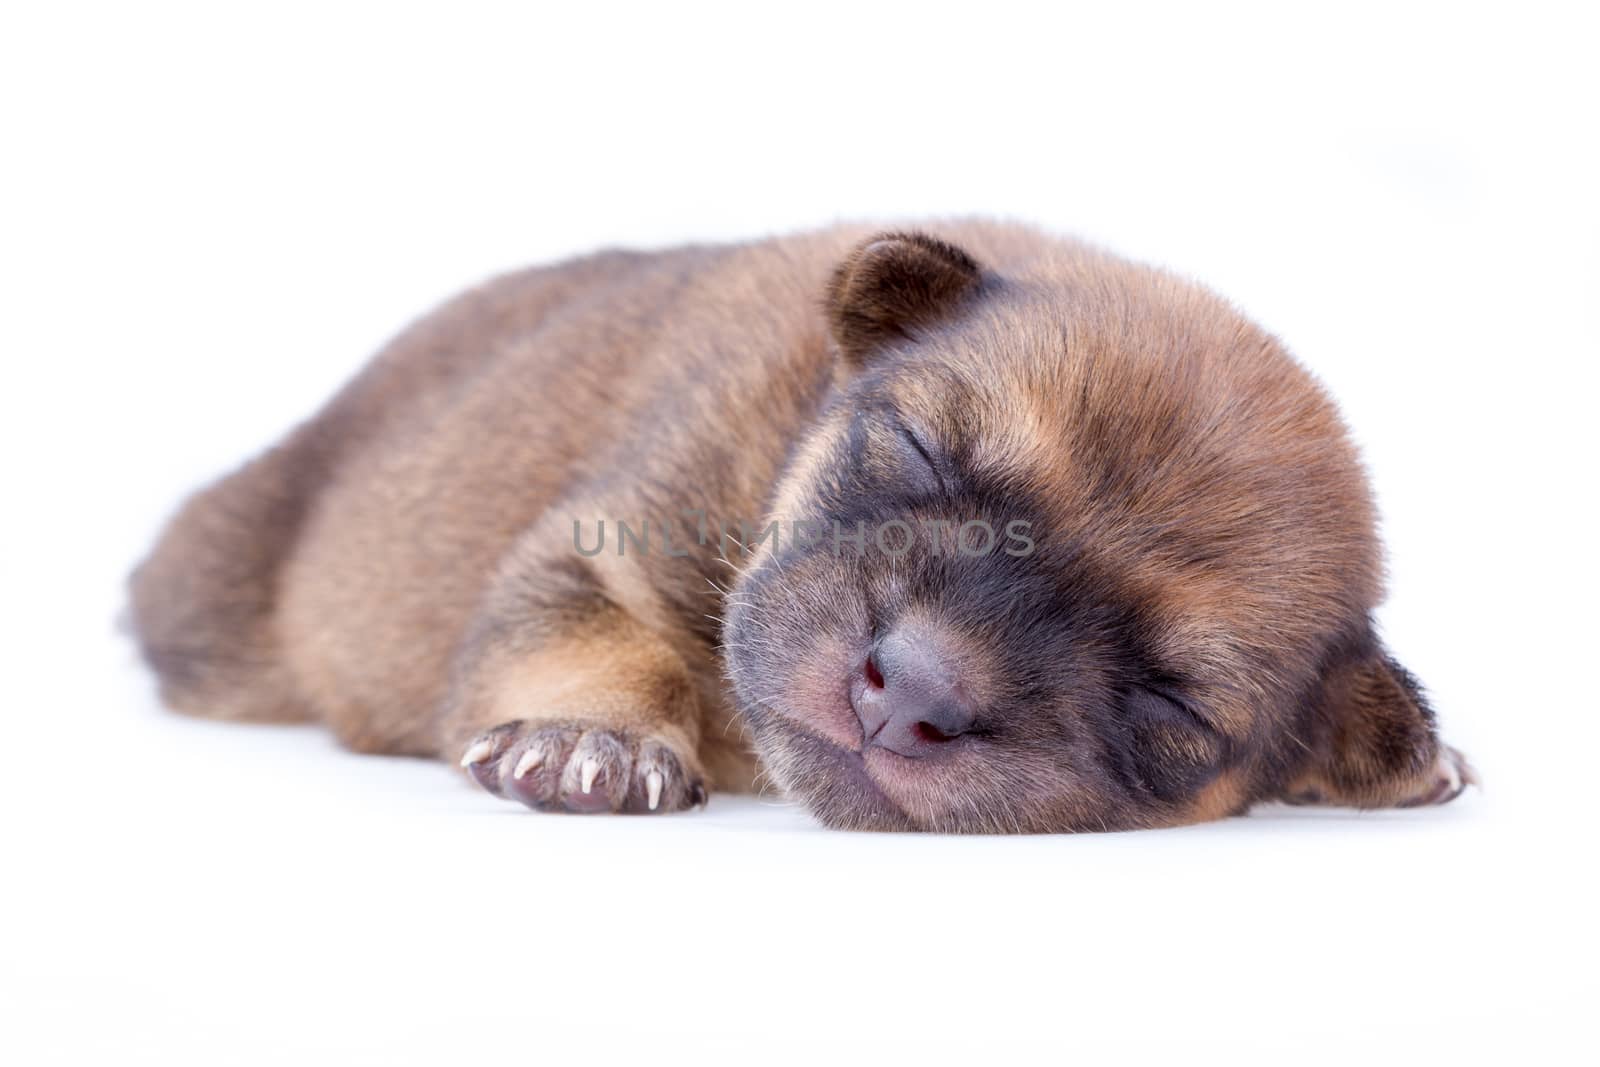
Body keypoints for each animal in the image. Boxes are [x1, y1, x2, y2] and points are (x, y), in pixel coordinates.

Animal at [128, 219, 1472, 831]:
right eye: (924, 451)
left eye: (1168, 702)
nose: (907, 690)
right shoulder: (608, 538)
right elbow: (595, 636)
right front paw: (590, 734)